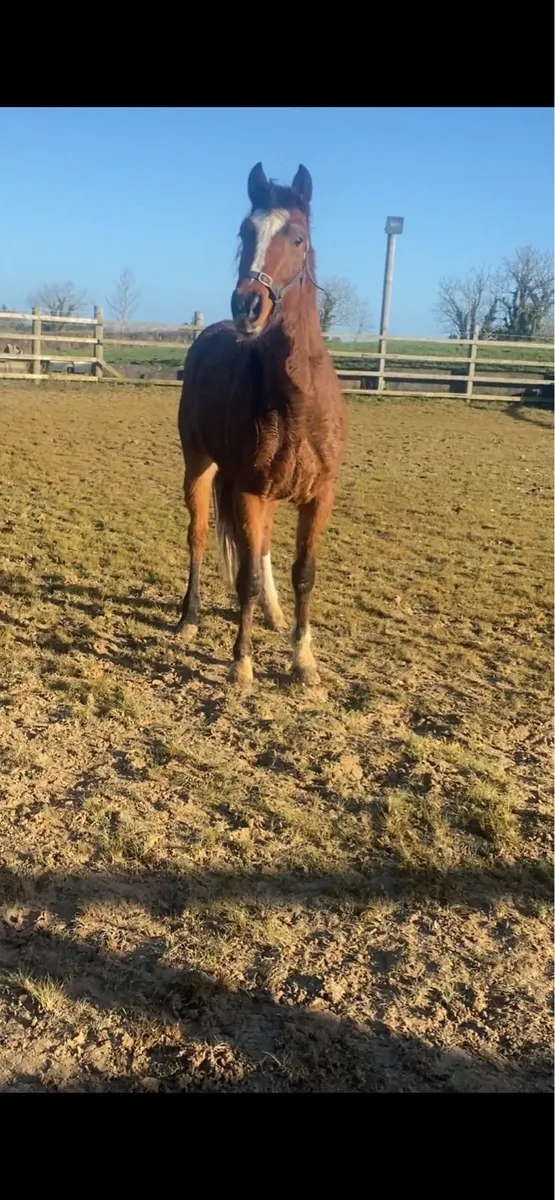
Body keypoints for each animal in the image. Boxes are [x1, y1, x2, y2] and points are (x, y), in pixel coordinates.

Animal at [176, 162, 347, 688]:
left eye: (297, 237)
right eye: (245, 231)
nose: (248, 306)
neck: (297, 403)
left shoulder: (318, 496)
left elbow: (303, 573)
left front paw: (304, 660)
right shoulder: (249, 491)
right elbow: (246, 576)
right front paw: (242, 663)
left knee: (265, 547)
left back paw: (273, 615)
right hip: (200, 468)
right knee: (198, 537)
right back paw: (188, 618)